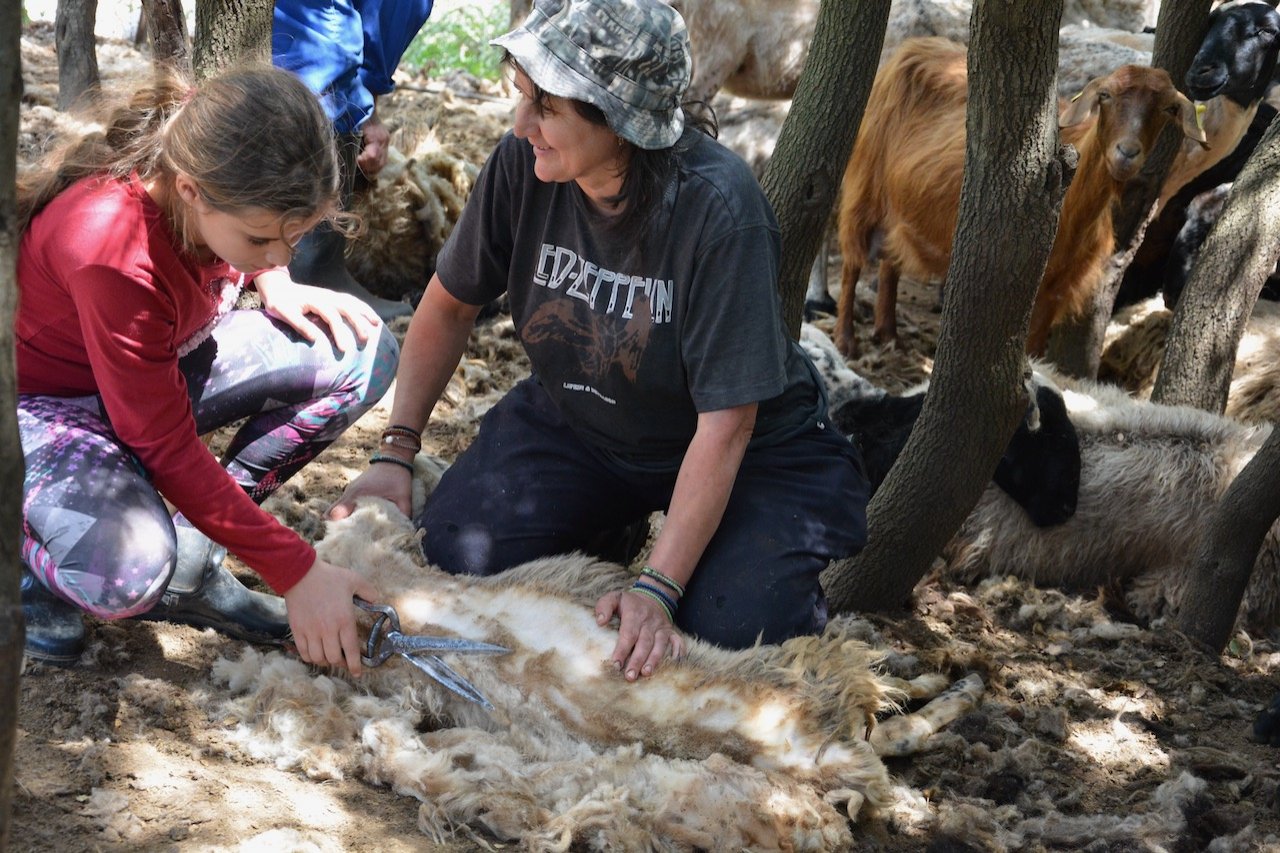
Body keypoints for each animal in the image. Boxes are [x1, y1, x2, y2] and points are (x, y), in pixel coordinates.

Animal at [834, 38, 1203, 356]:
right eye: (1106, 95)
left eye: (1169, 108)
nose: (1127, 152)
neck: (1073, 212)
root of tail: (910, 47)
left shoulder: (1057, 289)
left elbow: (1035, 349)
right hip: (865, 185)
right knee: (853, 260)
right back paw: (846, 340)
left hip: (899, 203)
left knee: (890, 259)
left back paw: (888, 334)